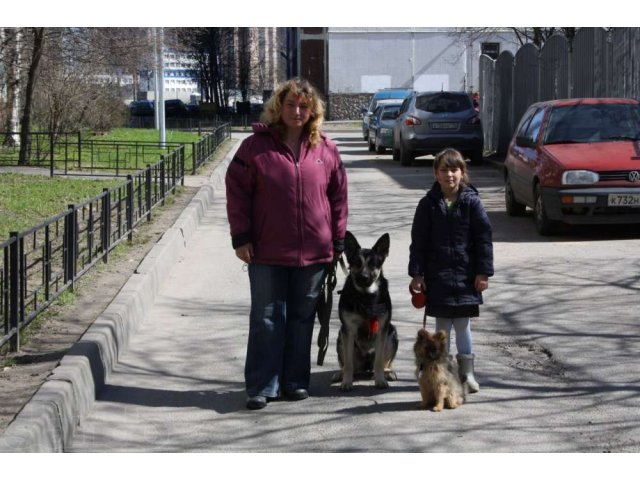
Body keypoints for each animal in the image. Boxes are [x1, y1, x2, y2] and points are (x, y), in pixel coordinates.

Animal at [332, 231, 398, 392]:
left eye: (373, 264)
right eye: (357, 263)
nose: (363, 277)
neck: (365, 296)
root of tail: (366, 366)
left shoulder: (382, 331)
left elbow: (379, 361)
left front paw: (380, 380)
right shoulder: (348, 331)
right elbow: (348, 364)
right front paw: (347, 382)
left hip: (391, 334)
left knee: (383, 363)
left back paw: (387, 372)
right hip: (341, 337)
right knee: (349, 365)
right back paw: (341, 373)